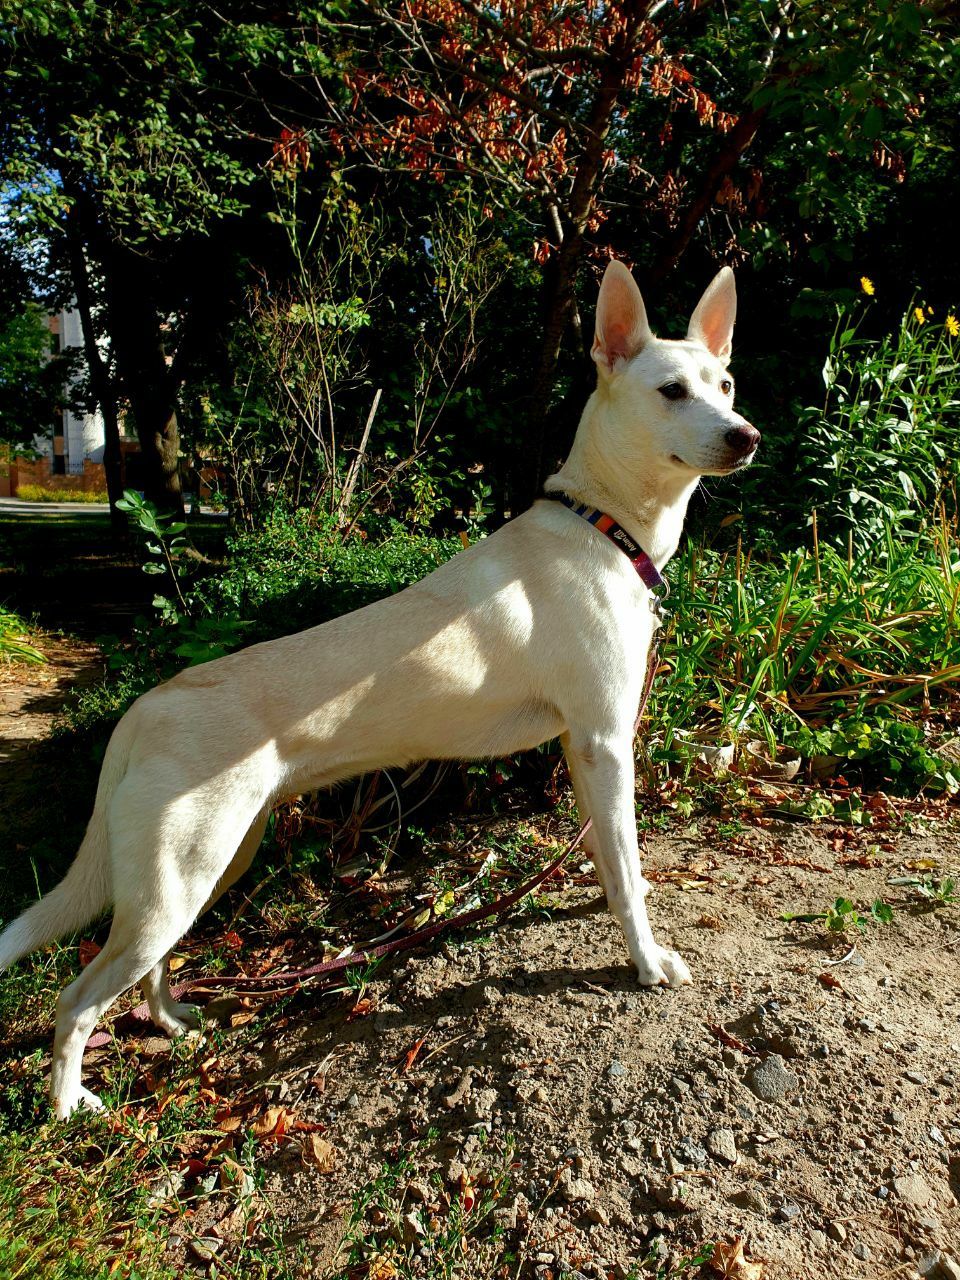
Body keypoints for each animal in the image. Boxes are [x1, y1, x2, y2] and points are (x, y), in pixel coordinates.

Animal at [0, 257, 757, 1111]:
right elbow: (627, 868)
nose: (747, 436)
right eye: (672, 391)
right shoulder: (604, 742)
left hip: (207, 869)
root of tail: (143, 707)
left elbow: (608, 851)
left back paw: (172, 1023)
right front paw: (645, 958)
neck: (601, 526)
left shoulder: (581, 747)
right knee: (76, 998)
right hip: (180, 882)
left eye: (725, 384)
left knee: (150, 965)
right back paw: (69, 1106)